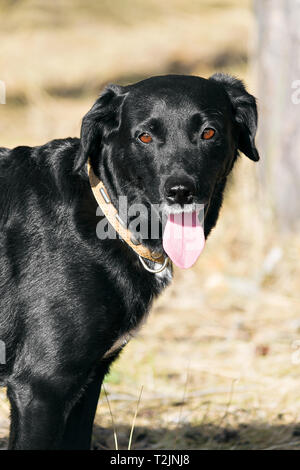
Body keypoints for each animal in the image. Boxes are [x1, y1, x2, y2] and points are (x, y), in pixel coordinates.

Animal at [0, 73, 258, 448]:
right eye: (144, 136)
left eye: (209, 132)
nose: (180, 192)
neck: (110, 216)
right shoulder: (41, 386)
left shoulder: (88, 381)